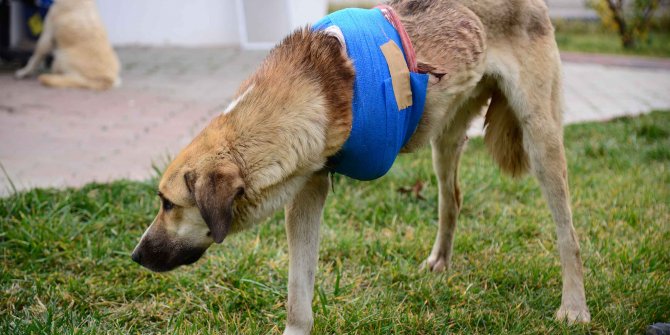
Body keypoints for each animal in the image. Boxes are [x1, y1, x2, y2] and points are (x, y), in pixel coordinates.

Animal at [133, 1, 592, 334]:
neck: (316, 85)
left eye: (168, 204)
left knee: (568, 234)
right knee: (452, 200)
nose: (135, 255)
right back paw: (440, 261)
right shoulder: (308, 190)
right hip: (444, 141)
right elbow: (298, 296)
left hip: (540, 137)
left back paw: (574, 306)